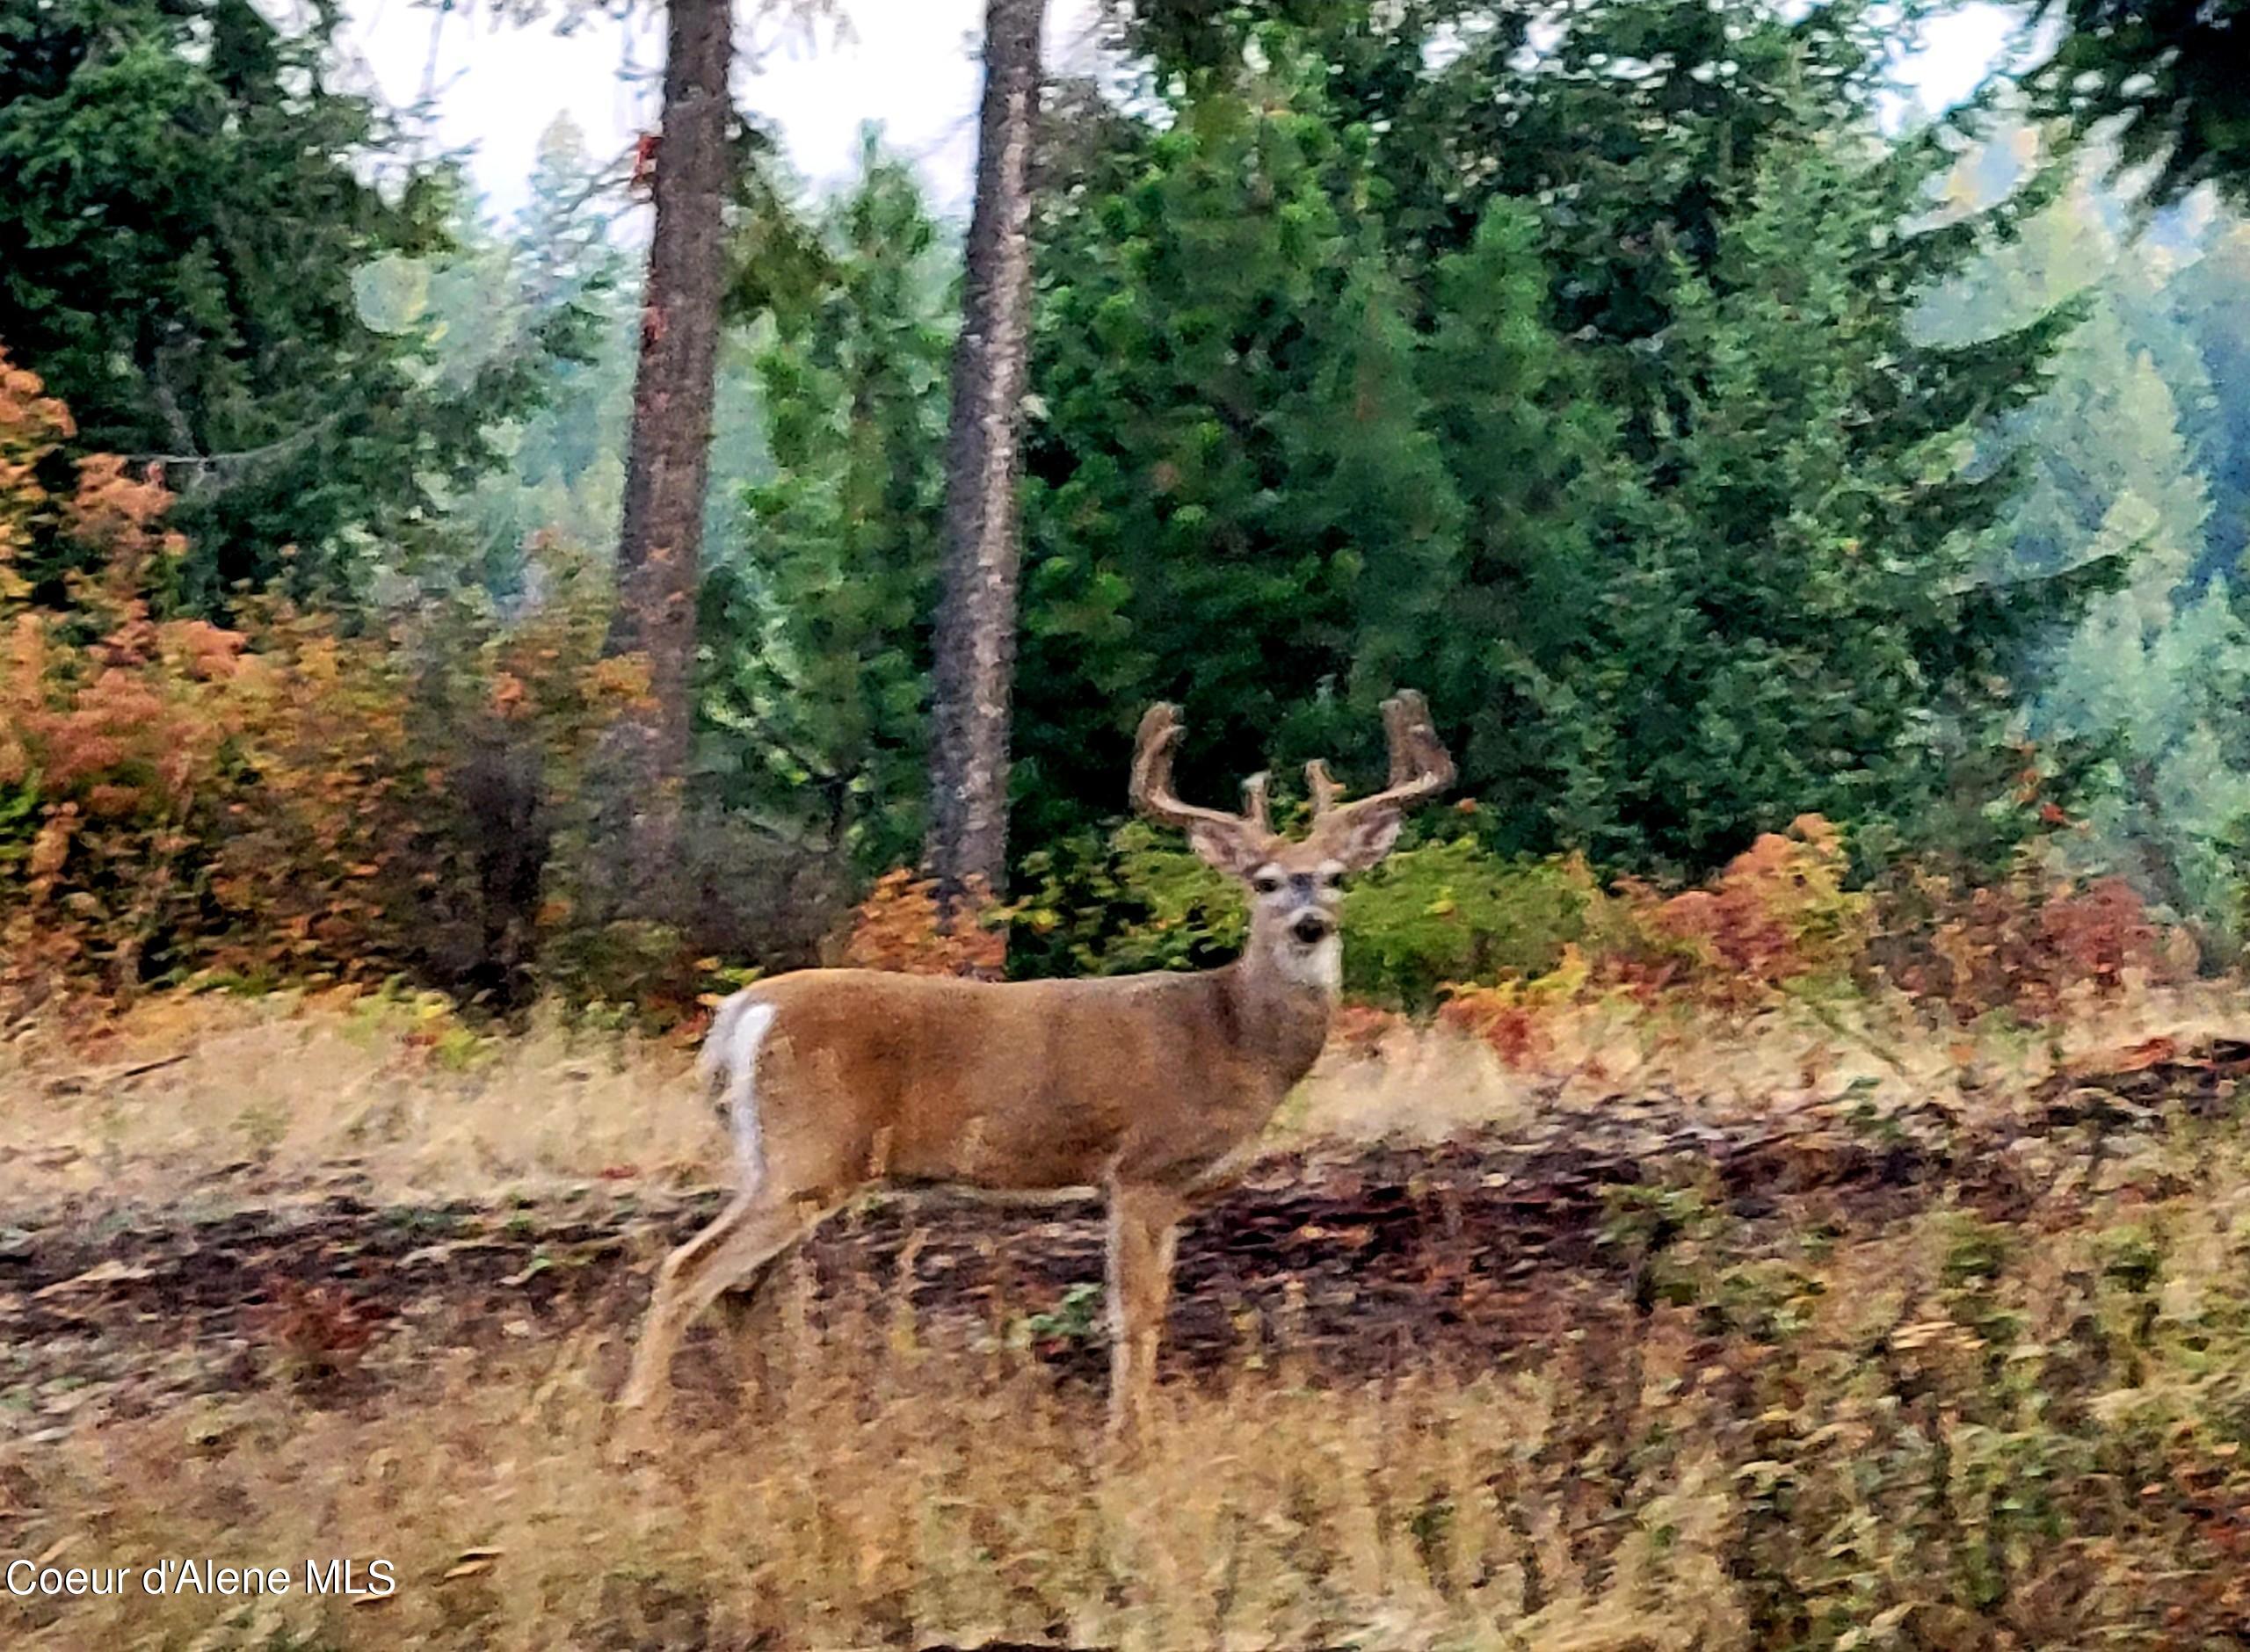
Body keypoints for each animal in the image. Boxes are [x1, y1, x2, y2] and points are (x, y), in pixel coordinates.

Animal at [616, 692, 1457, 1440]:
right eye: (1266, 881)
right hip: (811, 1152)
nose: (1311, 924)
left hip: (774, 1159)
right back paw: (639, 1434)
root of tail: (742, 1012)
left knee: (738, 1287)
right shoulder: (1141, 1168)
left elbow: (1156, 1307)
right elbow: (1134, 1311)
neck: (1231, 1034)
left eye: (1338, 877)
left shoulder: (1178, 1190)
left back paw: (758, 1418)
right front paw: (1126, 1438)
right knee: (689, 1268)